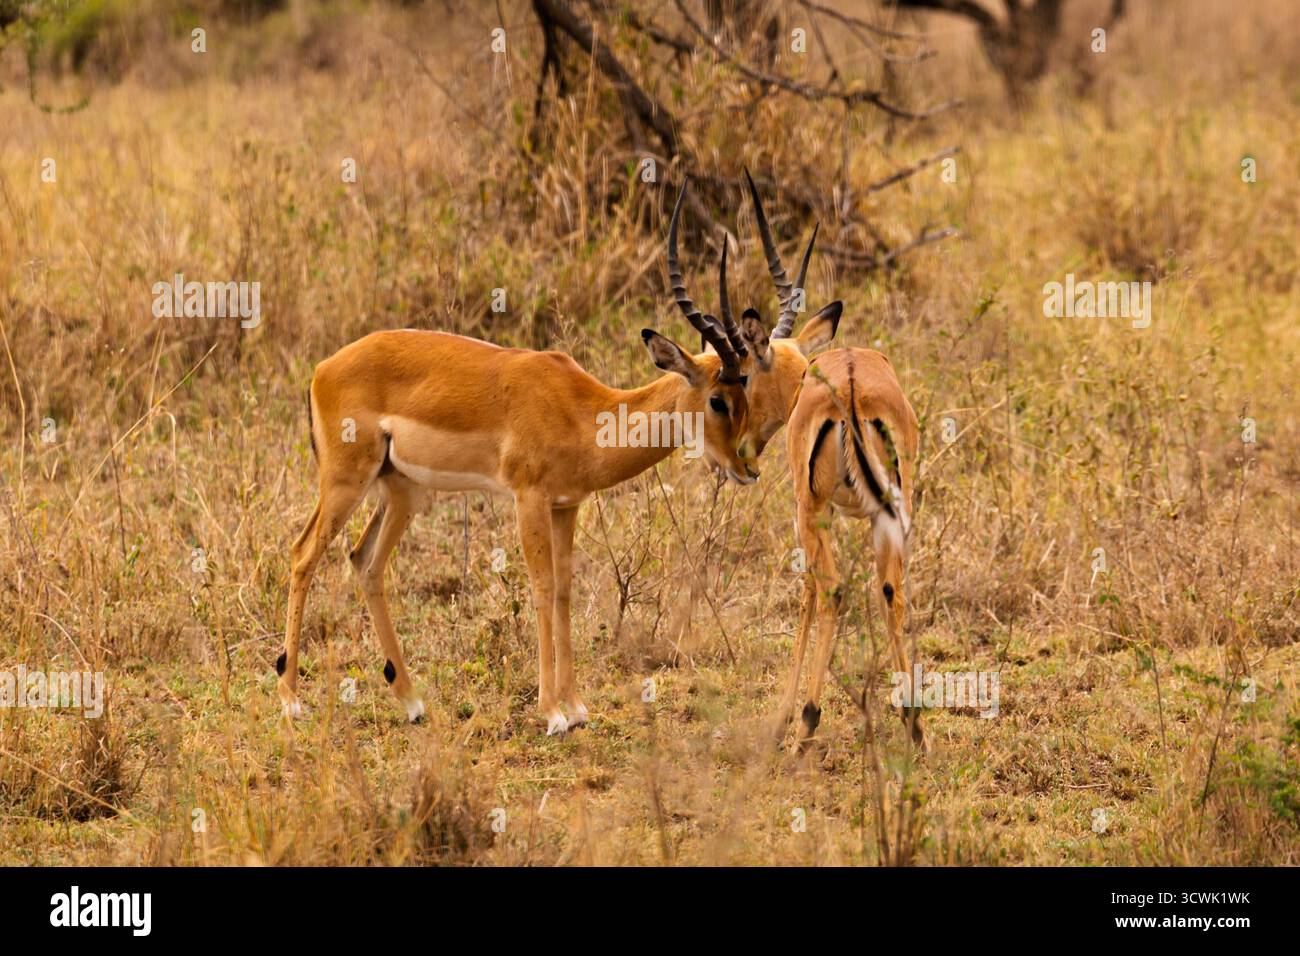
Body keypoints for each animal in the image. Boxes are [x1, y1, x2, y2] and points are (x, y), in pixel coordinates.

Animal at [275, 181, 758, 734]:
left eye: (747, 392)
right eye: (718, 399)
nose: (747, 468)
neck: (582, 411)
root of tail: (321, 369)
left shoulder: (567, 505)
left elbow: (566, 590)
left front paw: (576, 706)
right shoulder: (528, 498)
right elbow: (543, 587)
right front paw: (552, 712)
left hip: (401, 489)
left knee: (366, 562)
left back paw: (413, 702)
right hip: (344, 481)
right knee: (303, 555)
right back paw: (291, 700)